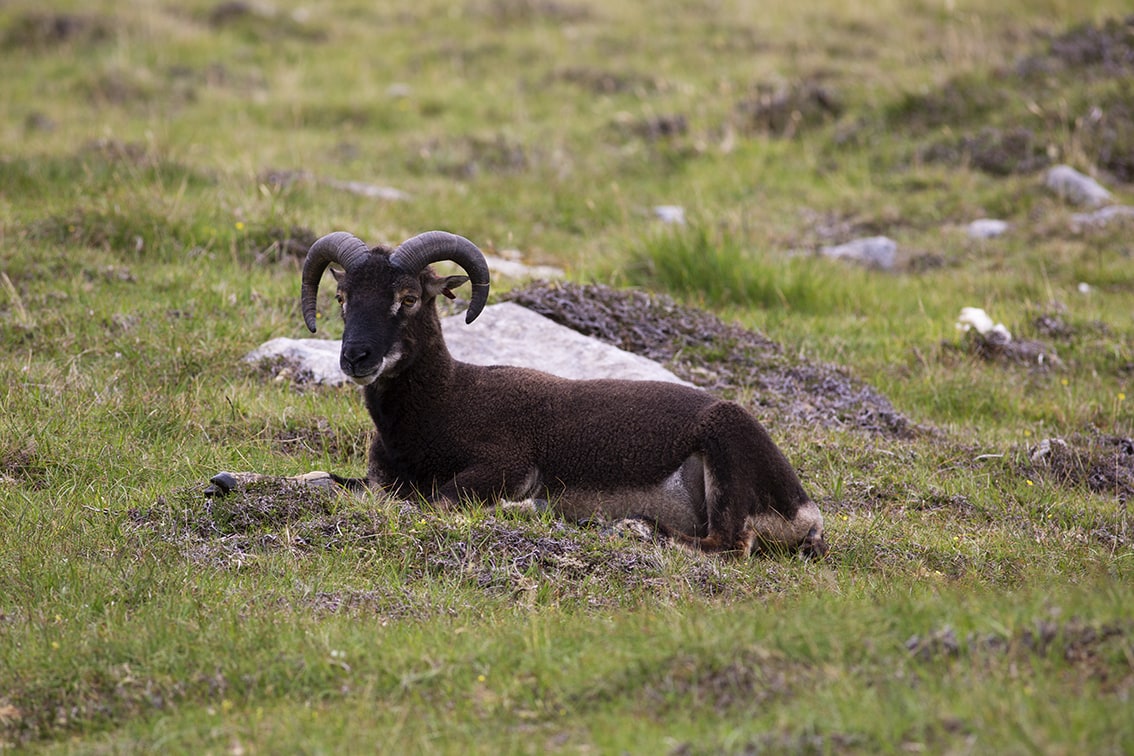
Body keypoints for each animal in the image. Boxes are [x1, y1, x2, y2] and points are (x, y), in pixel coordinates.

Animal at [213, 227, 830, 559]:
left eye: (409, 297)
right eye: (342, 297)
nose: (356, 359)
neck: (443, 406)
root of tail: (805, 511)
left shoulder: (501, 466)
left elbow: (437, 500)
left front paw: (527, 507)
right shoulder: (379, 475)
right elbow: (325, 478)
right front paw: (226, 480)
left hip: (724, 455)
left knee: (727, 544)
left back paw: (627, 527)